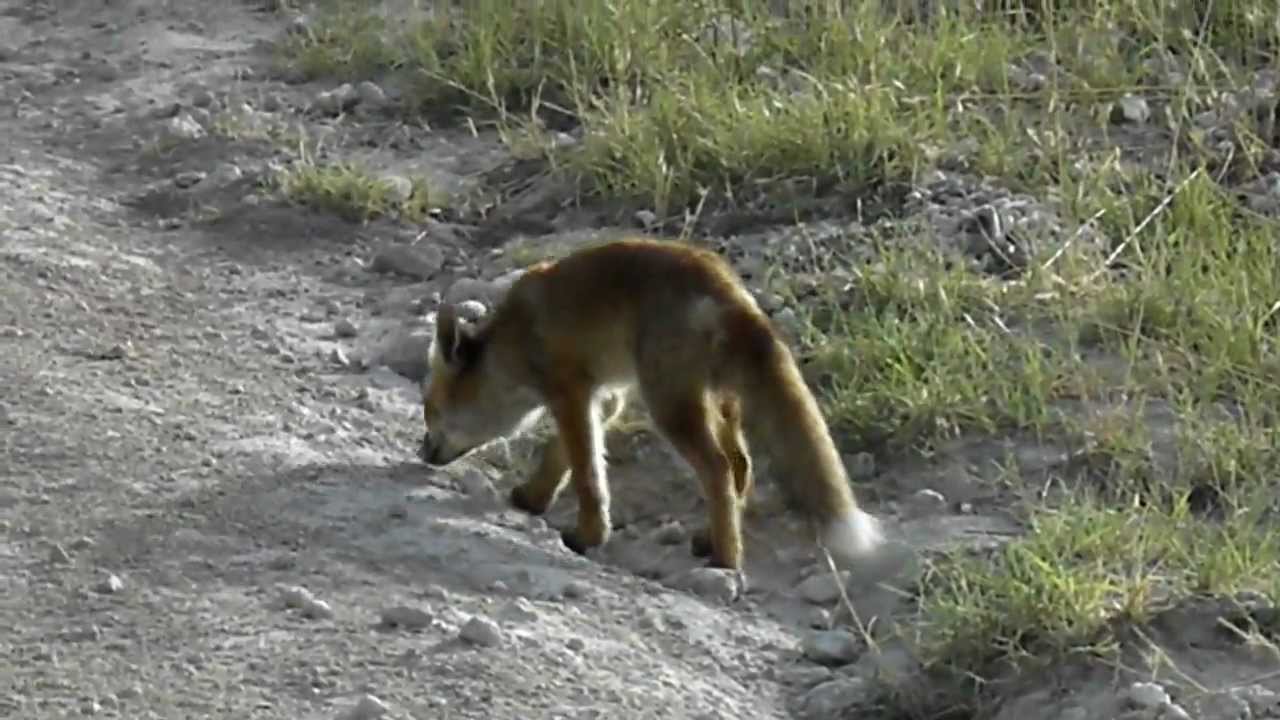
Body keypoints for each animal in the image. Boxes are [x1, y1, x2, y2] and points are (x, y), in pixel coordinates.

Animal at [418, 236, 884, 573]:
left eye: (431, 409)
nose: (422, 453)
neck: (512, 344)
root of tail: (728, 287)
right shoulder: (601, 397)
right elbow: (562, 457)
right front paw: (533, 499)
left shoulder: (569, 391)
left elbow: (586, 474)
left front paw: (588, 536)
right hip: (717, 400)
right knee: (740, 465)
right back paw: (712, 538)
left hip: (669, 405)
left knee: (717, 468)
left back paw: (727, 559)